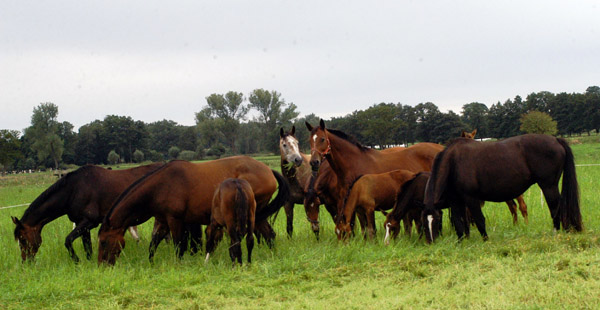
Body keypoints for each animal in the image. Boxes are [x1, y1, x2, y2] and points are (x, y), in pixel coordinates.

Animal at [10, 163, 164, 262]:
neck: (73, 190)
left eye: (22, 239)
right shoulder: (82, 224)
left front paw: (77, 261)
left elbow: (68, 240)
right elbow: (87, 247)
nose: (25, 261)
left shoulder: (89, 222)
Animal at [97, 156, 290, 266]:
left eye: (104, 242)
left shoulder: (175, 220)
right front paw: (150, 263)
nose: (101, 265)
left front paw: (179, 264)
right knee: (268, 235)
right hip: (254, 216)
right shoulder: (163, 220)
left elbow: (178, 245)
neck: (160, 186)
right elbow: (154, 243)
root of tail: (268, 169)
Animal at [308, 120, 442, 236]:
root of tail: (441, 148)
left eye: (322, 139)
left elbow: (366, 227)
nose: (314, 162)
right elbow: (360, 227)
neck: (355, 163)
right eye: (310, 140)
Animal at [422, 134, 580, 243]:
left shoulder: (471, 199)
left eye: (436, 220)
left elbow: (479, 220)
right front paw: (462, 241)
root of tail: (556, 139)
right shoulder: (456, 202)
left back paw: (557, 232)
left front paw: (485, 240)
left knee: (555, 208)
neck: (452, 163)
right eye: (424, 222)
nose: (432, 242)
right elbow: (459, 222)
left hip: (548, 186)